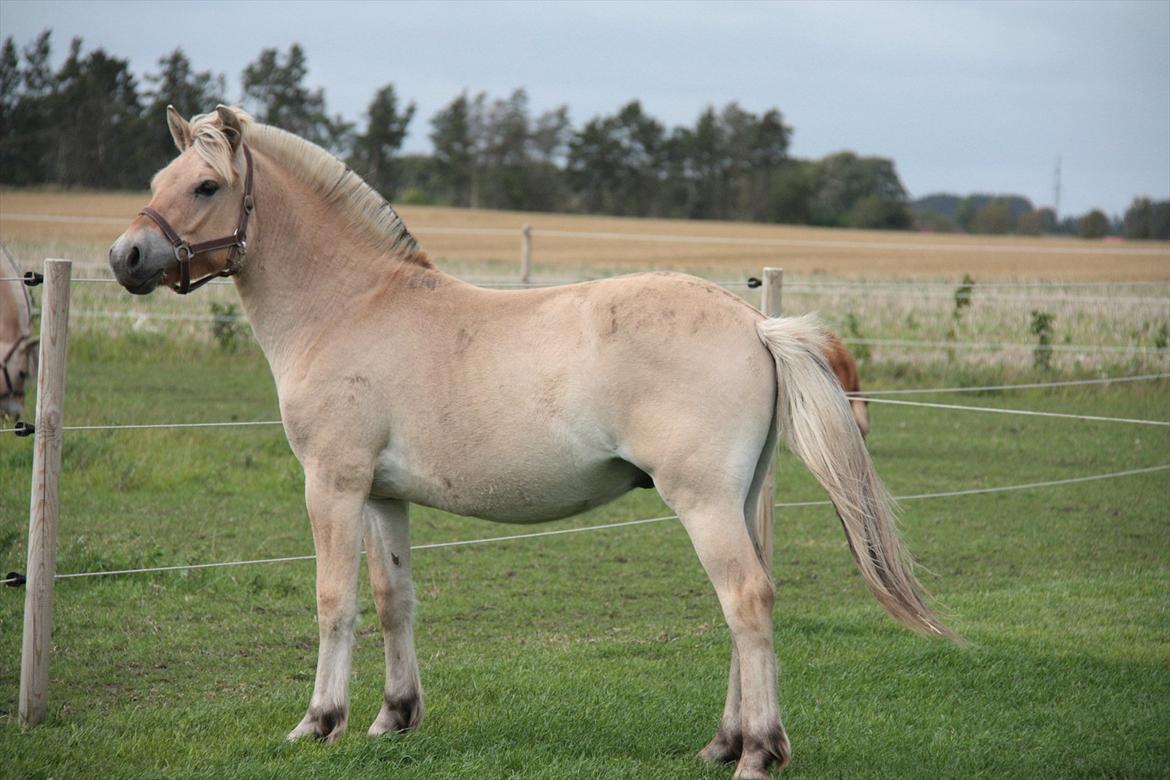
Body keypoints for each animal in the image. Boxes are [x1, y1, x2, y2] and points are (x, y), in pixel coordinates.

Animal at [107, 107, 950, 776]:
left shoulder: (333, 485)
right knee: (750, 606)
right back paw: (722, 743)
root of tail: (755, 323)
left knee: (746, 600)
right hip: (739, 502)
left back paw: (757, 755)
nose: (125, 257)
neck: (351, 305)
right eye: (161, 175)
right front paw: (393, 717)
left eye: (206, 186)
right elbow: (392, 600)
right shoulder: (381, 496)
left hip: (705, 503)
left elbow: (333, 602)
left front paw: (318, 723)